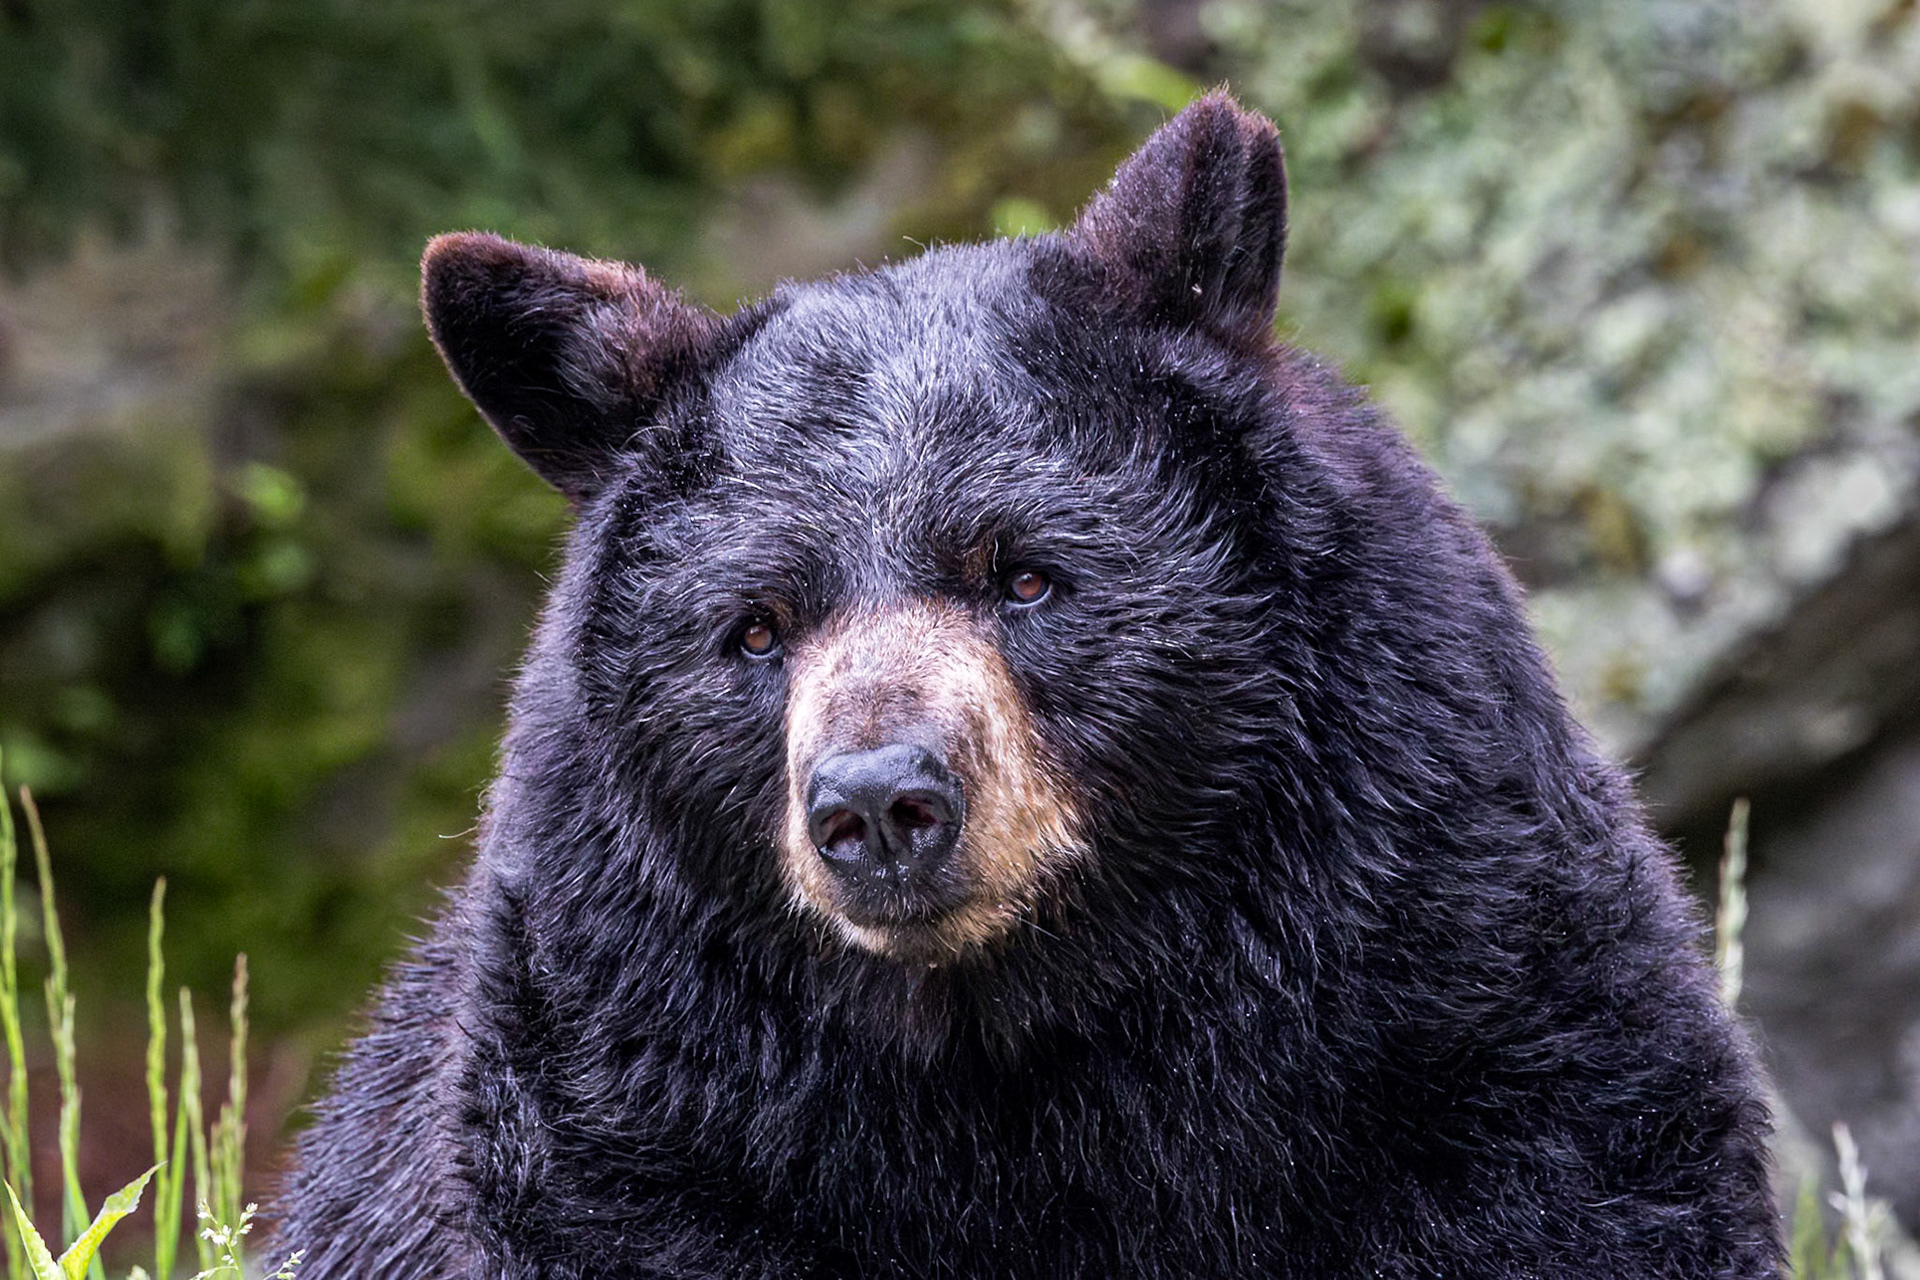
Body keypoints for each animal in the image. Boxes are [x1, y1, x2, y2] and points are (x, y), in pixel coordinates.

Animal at [272, 94, 1782, 1278]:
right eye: (753, 628)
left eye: (1028, 574)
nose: (881, 803)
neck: (1030, 1031)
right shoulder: (649, 1112)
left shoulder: (1477, 1004)